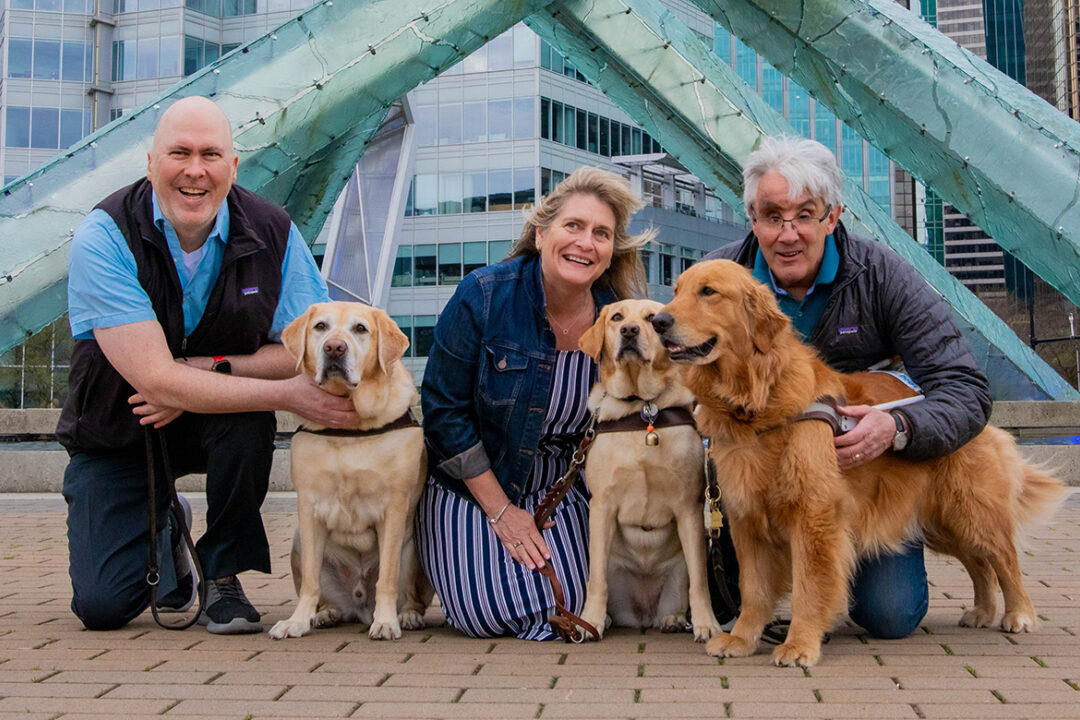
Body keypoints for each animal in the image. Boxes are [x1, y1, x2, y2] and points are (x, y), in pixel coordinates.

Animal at [268, 302, 429, 639]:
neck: (351, 427)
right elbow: (310, 581)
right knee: (324, 593)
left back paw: (406, 615)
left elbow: (387, 578)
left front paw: (386, 622)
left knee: (408, 593)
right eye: (320, 327)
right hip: (299, 543)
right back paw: (325, 613)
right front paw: (297, 621)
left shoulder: (394, 508)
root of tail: (359, 604)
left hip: (414, 551)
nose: (334, 348)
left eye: (360, 329)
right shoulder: (309, 508)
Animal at [578, 297, 721, 643]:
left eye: (652, 319)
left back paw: (674, 620)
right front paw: (589, 621)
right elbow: (595, 579)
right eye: (617, 317)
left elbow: (700, 580)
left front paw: (707, 624)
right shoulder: (601, 506)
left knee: (680, 594)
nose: (629, 330)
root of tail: (642, 615)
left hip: (677, 573)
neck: (640, 407)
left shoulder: (689, 507)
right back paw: (607, 619)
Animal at [648, 262, 1062, 669]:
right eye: (677, 290)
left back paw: (1019, 614)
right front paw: (742, 638)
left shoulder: (814, 515)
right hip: (941, 523)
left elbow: (809, 585)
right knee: (978, 564)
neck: (756, 396)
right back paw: (982, 610)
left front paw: (800, 643)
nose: (659, 321)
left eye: (708, 291)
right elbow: (753, 589)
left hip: (971, 511)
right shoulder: (745, 516)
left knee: (1003, 559)